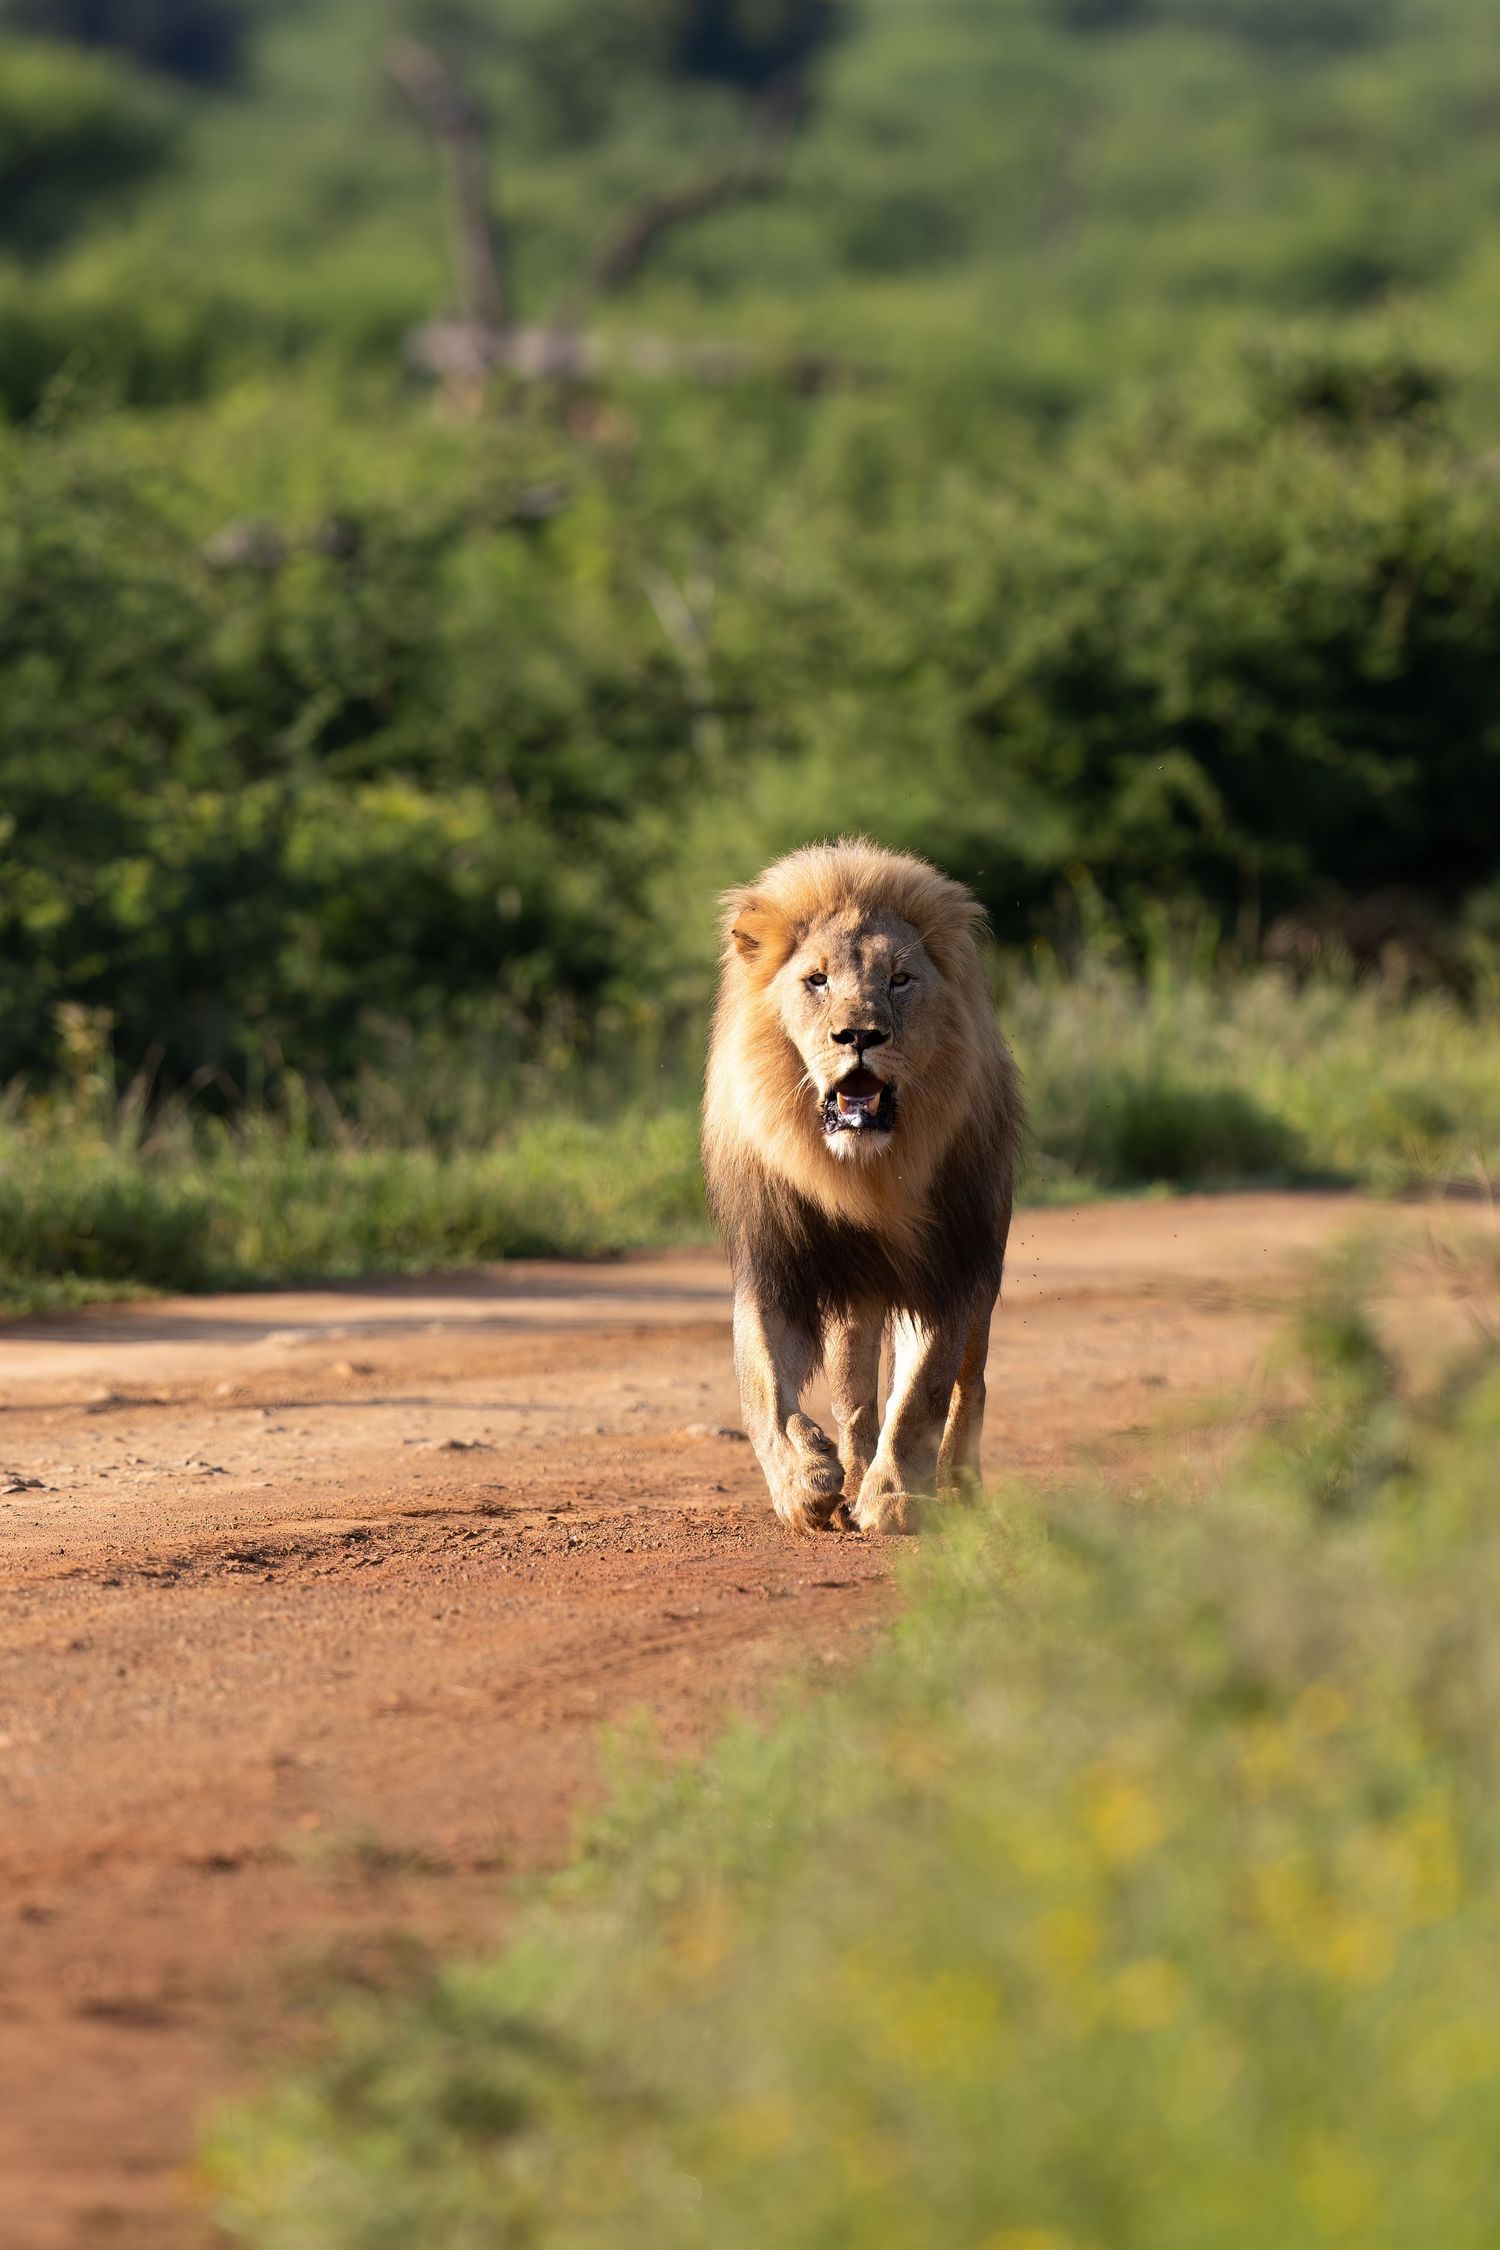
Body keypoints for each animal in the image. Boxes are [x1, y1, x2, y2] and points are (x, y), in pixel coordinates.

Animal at [702, 839, 1020, 1534]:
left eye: (900, 980)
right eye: (816, 980)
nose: (859, 1036)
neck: (861, 1175)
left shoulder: (946, 1269)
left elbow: (923, 1391)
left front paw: (896, 1496)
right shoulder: (777, 1264)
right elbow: (761, 1386)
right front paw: (804, 1483)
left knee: (970, 1382)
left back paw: (957, 1485)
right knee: (854, 1396)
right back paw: (848, 1472)